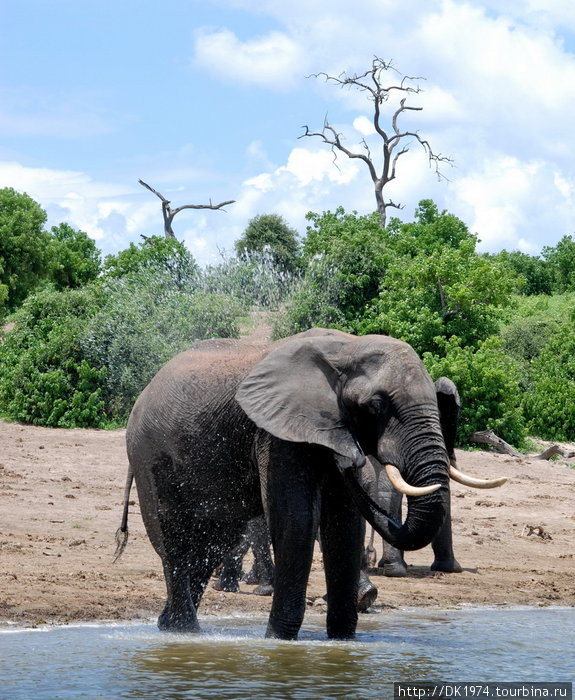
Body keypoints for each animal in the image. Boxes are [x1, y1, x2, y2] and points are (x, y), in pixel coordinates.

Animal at [116, 328, 490, 640]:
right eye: (375, 406)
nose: (355, 461)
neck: (347, 347)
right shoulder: (274, 431)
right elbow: (296, 521)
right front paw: (279, 642)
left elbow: (343, 525)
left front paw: (343, 642)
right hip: (149, 456)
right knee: (175, 541)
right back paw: (186, 634)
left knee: (213, 543)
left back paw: (167, 626)